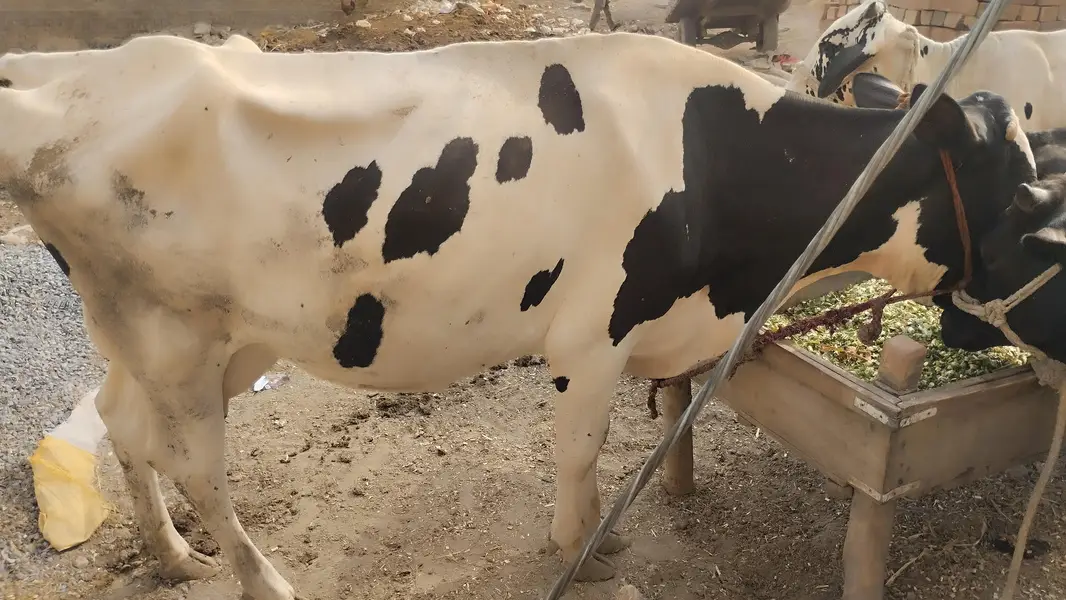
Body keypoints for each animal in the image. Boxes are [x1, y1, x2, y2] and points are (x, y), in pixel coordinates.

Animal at [0, 31, 1038, 600]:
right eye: (1028, 202)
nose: (998, 335)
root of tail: (65, 77)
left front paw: (597, 536)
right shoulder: (593, 330)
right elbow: (581, 449)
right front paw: (581, 547)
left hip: (164, 335)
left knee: (124, 426)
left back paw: (174, 556)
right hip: (178, 337)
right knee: (195, 466)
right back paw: (265, 578)